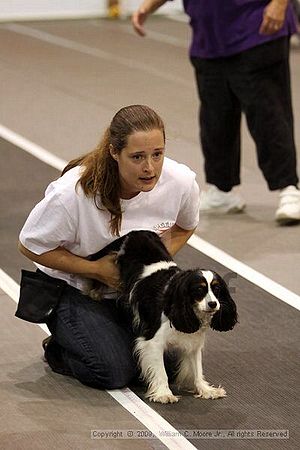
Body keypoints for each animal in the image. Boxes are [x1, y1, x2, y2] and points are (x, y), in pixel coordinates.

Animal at [88, 230, 238, 402]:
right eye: (199, 290)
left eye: (217, 289)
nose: (213, 304)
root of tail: (137, 232)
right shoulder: (153, 342)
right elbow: (161, 371)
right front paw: (164, 394)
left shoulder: (193, 342)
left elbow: (197, 369)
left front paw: (206, 390)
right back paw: (95, 293)